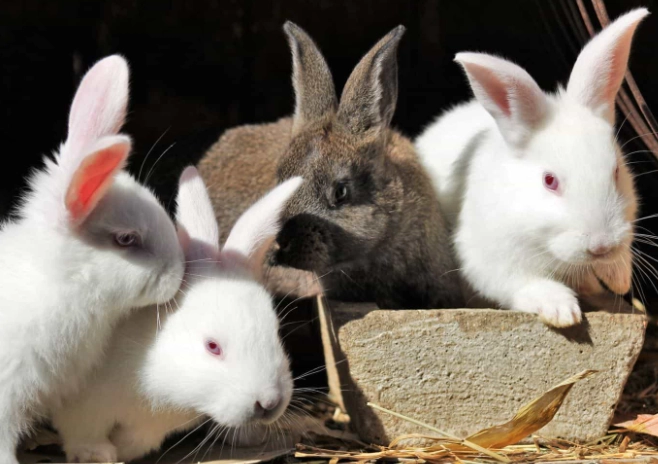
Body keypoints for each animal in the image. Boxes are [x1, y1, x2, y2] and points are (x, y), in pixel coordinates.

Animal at [49, 166, 298, 464]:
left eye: (277, 332)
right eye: (212, 346)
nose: (269, 403)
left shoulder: (148, 429)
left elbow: (133, 442)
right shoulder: (83, 407)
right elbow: (83, 434)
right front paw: (98, 456)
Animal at [415, 8, 648, 327]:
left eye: (616, 172)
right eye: (549, 181)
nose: (601, 247)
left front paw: (619, 278)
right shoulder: (490, 258)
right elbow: (525, 283)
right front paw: (562, 311)